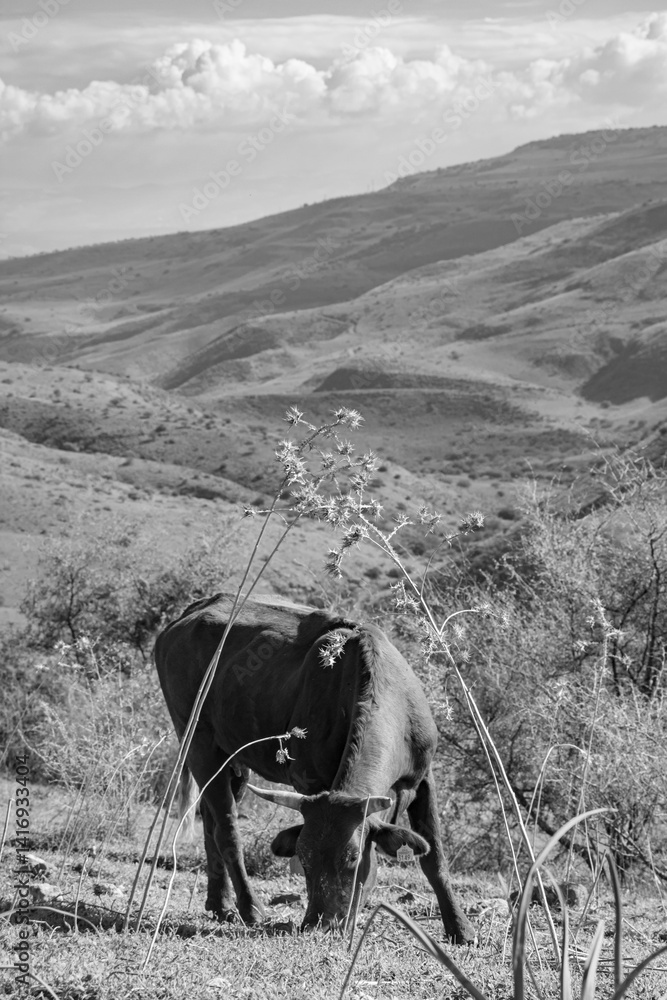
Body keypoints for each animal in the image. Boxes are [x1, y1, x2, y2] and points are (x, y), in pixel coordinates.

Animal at [154, 592, 475, 943]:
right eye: (303, 857)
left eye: (353, 857)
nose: (321, 924)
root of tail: (192, 610)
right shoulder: (309, 781)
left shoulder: (423, 778)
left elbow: (434, 857)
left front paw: (460, 928)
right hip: (198, 744)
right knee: (227, 829)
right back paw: (249, 908)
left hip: (232, 760)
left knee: (211, 822)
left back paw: (220, 903)